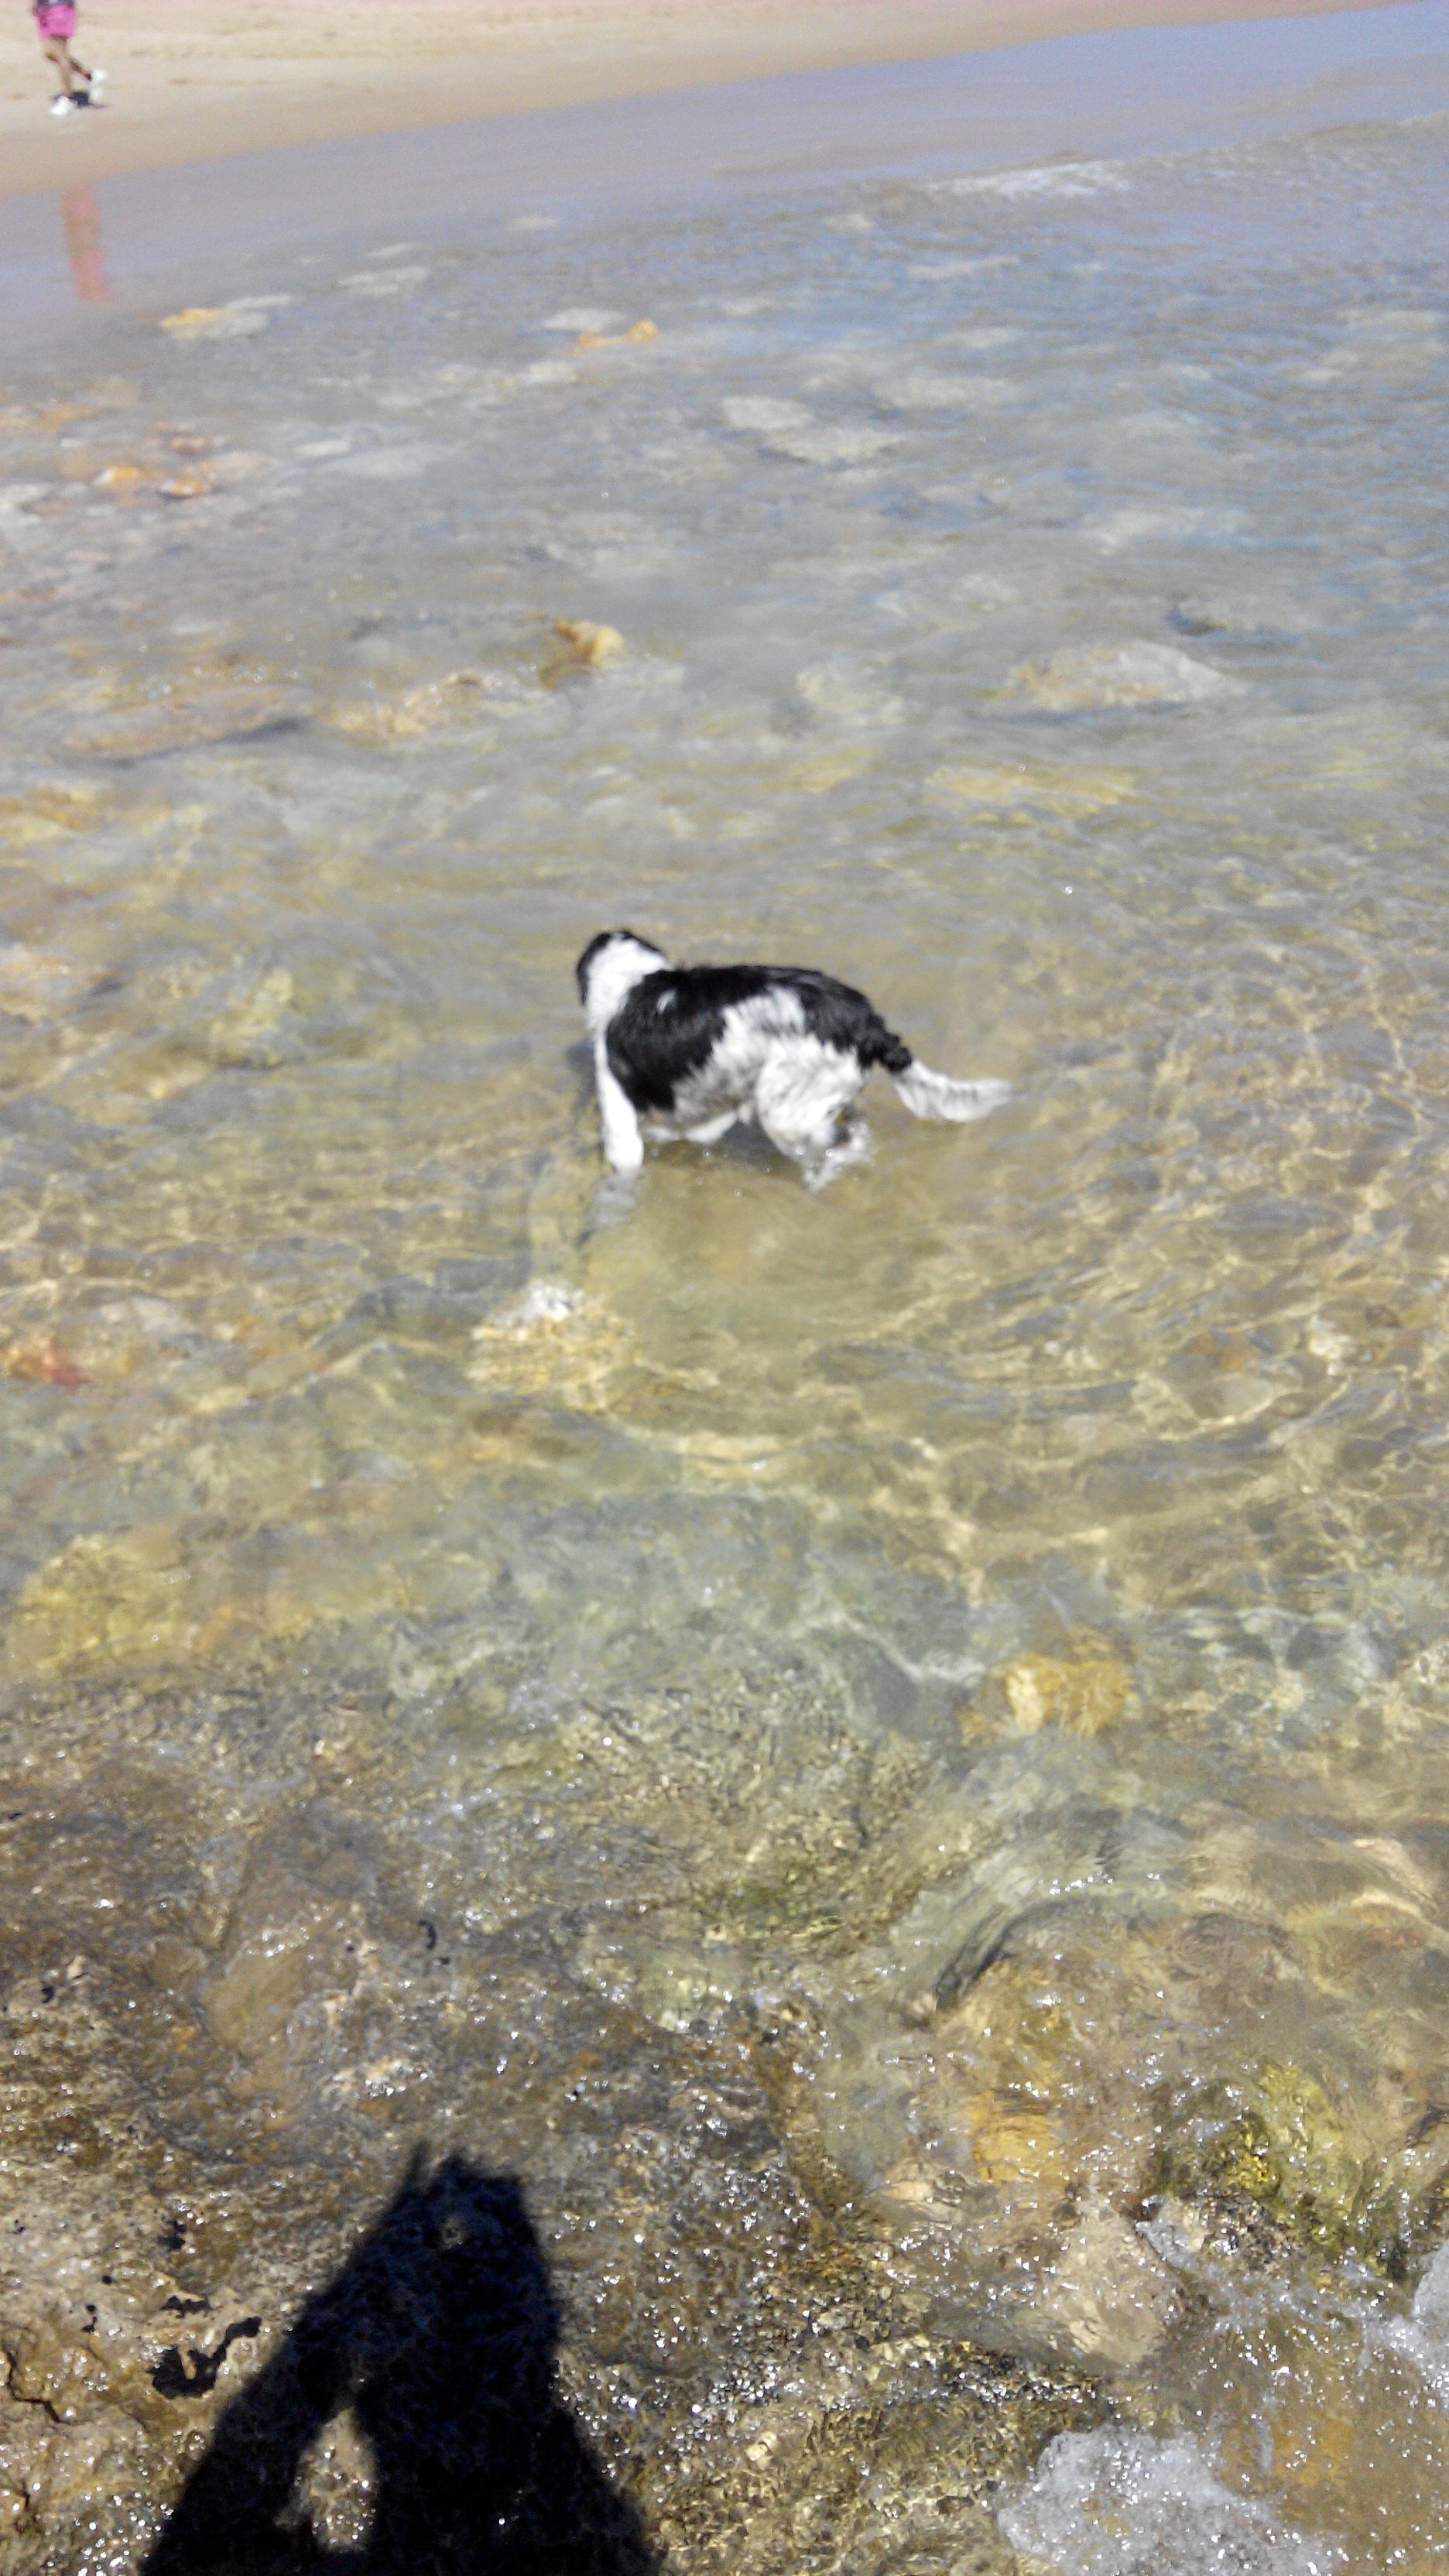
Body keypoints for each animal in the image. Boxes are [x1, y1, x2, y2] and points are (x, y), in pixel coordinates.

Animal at [572, 932, 1005, 1190]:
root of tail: (869, 1026)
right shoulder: (710, 1112)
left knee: (844, 1142)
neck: (633, 986)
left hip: (784, 1114)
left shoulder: (619, 1116)